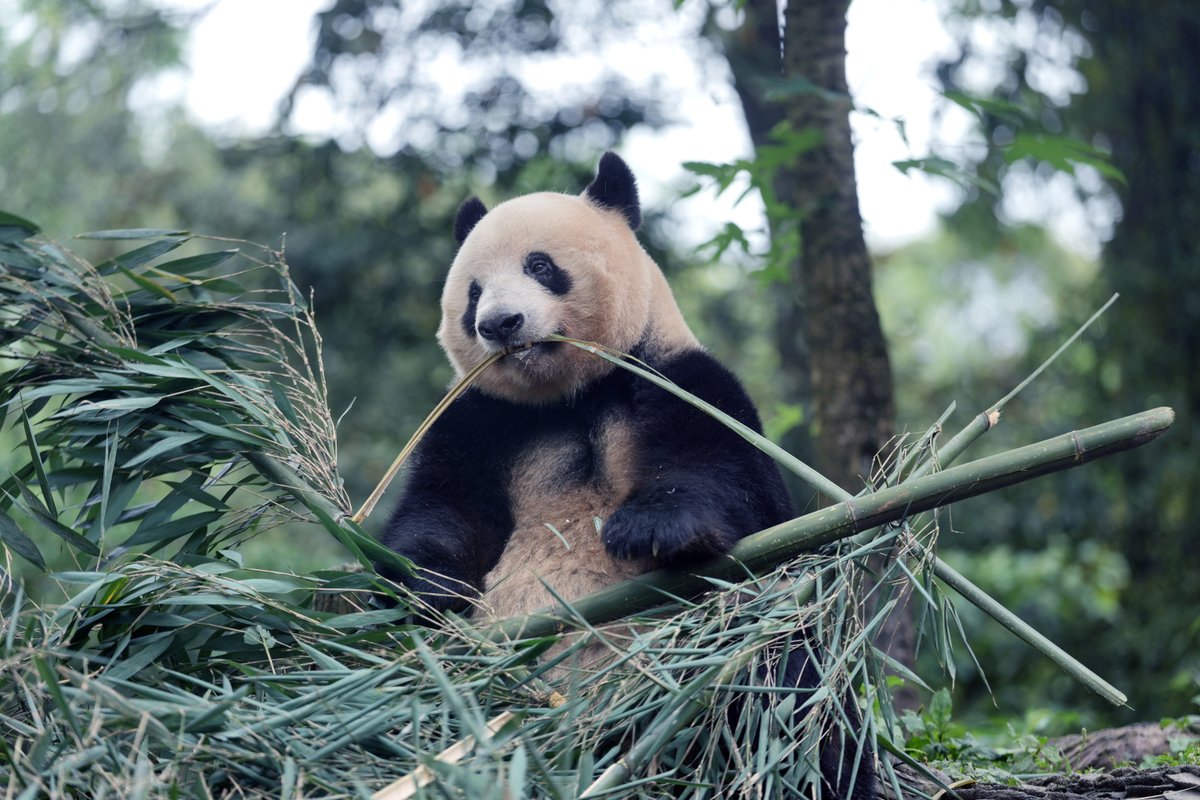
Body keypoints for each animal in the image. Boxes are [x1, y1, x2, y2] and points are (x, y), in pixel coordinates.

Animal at [378, 152, 874, 799]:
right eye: (473, 291)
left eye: (540, 266)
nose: (499, 324)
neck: (568, 397)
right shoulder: (478, 416)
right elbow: (445, 505)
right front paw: (426, 584)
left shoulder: (679, 380)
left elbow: (730, 481)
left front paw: (650, 529)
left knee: (786, 689)